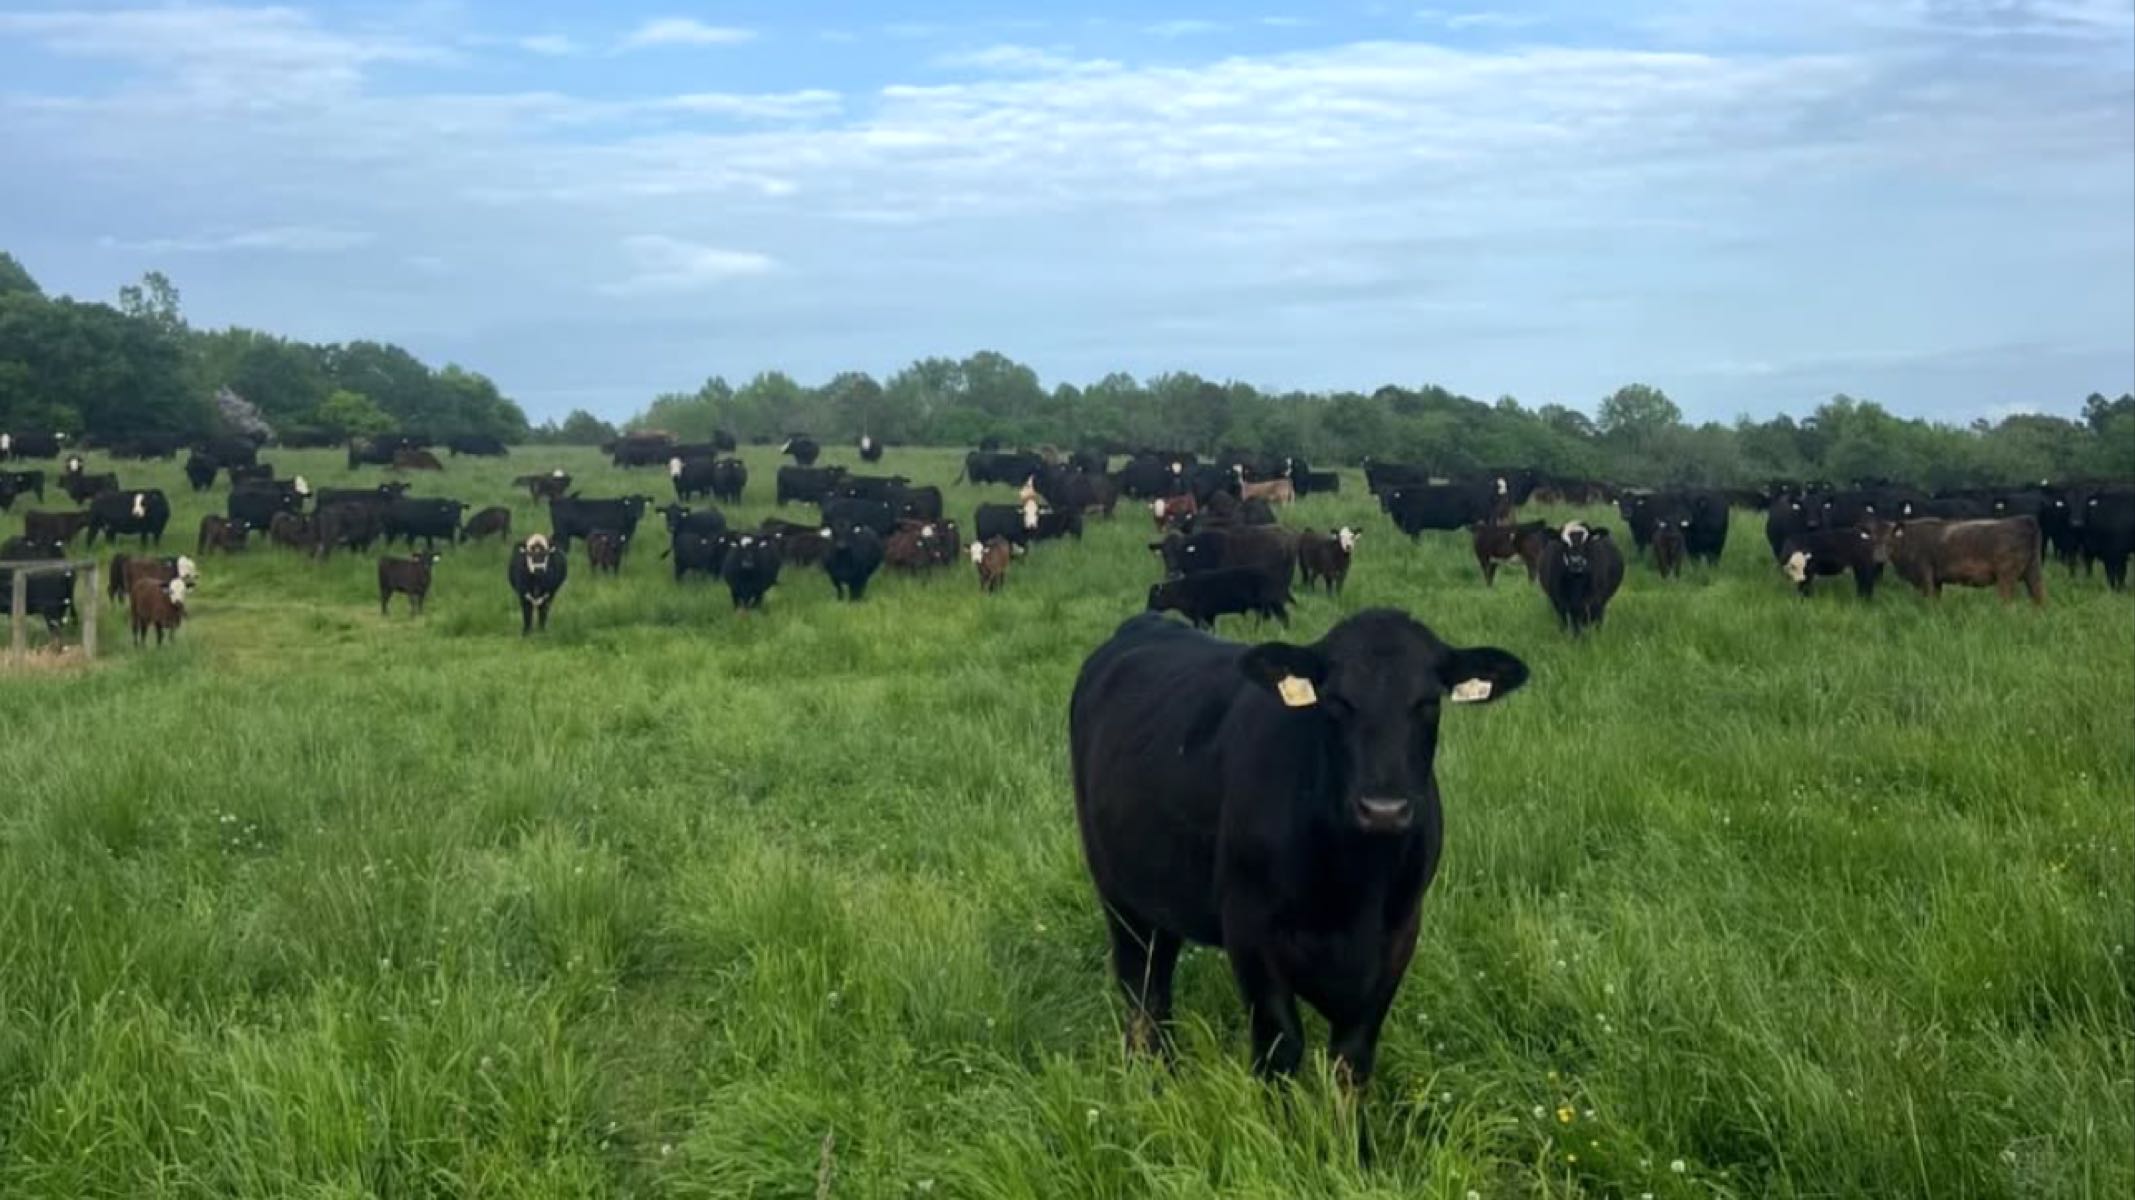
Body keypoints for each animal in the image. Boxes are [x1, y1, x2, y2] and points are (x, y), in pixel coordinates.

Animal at [1076, 606, 1528, 1084]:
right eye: (1336, 702)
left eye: (1427, 703)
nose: (1383, 810)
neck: (1358, 885)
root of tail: (1147, 621)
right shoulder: (1249, 930)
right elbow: (1280, 1044)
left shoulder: (1399, 933)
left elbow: (1352, 1053)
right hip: (1119, 894)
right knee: (1145, 994)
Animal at [1144, 567, 1289, 632]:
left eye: (1153, 597)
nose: (1147, 610)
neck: (1181, 589)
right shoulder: (1209, 615)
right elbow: (1212, 629)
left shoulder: (1198, 615)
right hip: (1265, 606)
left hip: (1272, 603)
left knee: (1282, 616)